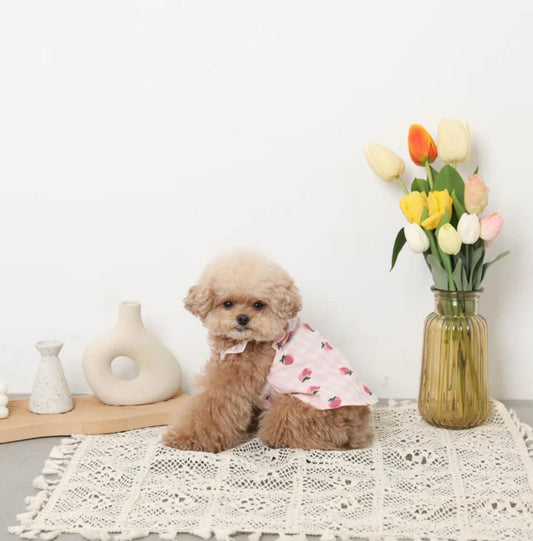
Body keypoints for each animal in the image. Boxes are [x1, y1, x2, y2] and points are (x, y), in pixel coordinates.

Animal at [162, 251, 374, 454]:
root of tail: (359, 428)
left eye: (258, 305)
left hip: (296, 408)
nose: (242, 318)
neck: (245, 342)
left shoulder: (231, 384)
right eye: (228, 303)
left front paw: (183, 439)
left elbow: (209, 410)